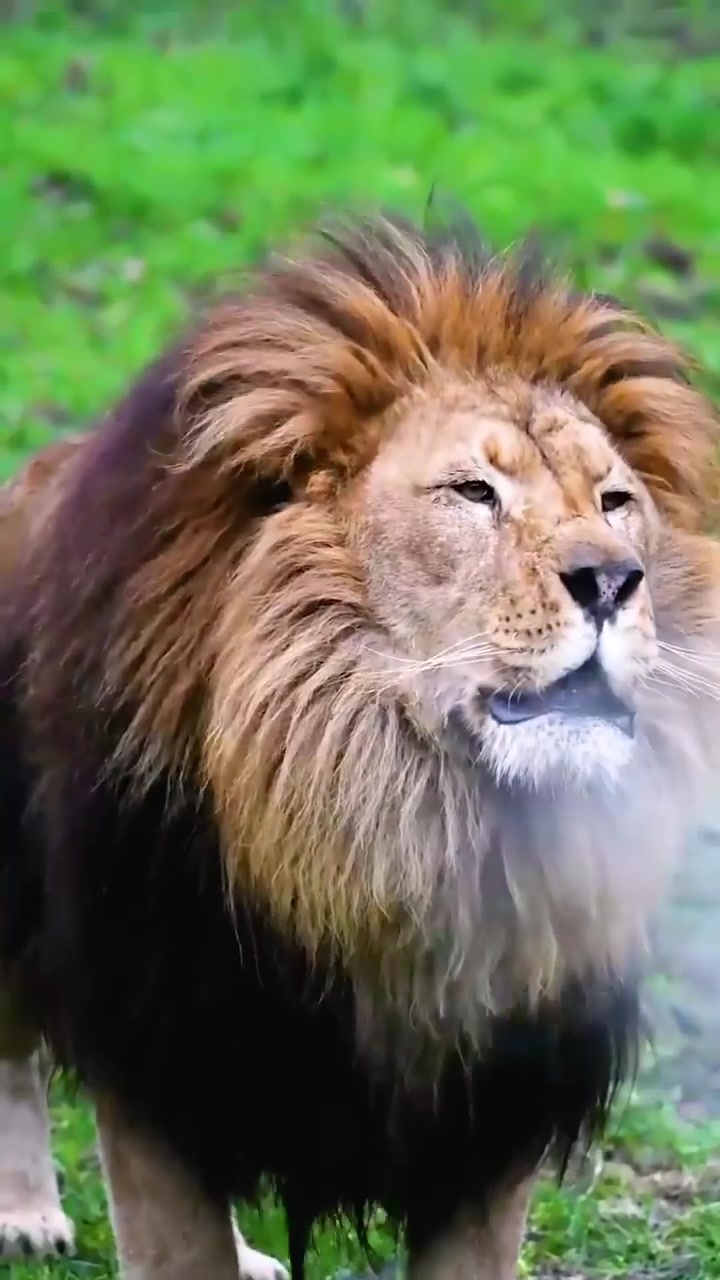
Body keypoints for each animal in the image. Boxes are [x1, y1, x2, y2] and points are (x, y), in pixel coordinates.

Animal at [0, 208, 719, 1280]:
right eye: (473, 492)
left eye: (615, 501)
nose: (613, 580)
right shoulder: (160, 1058)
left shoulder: (490, 1125)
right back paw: (25, 1212)